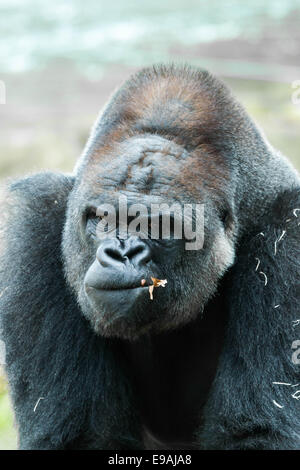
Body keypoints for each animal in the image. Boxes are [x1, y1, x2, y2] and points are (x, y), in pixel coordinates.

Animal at [0, 64, 300, 450]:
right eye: (103, 218)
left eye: (159, 224)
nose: (121, 253)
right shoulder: (37, 221)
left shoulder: (291, 232)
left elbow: (257, 432)